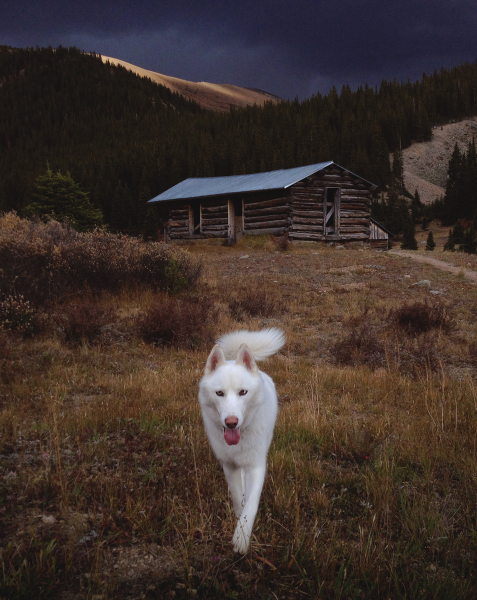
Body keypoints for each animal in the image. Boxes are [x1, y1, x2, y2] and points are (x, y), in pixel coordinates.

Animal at [198, 328, 284, 552]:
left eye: (243, 392)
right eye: (219, 393)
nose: (231, 423)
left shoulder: (256, 466)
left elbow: (251, 505)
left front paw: (242, 538)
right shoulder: (229, 466)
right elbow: (238, 498)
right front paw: (238, 521)